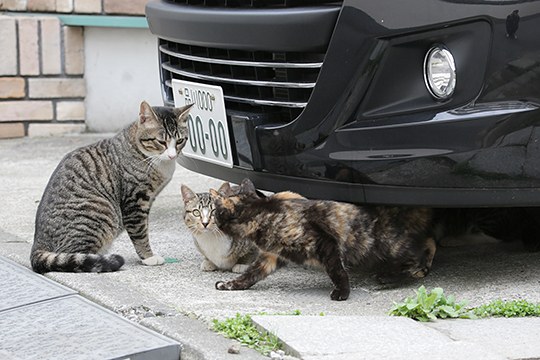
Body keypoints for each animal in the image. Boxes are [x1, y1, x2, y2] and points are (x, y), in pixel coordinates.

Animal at [30, 100, 193, 274]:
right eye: (161, 142)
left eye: (180, 141)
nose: (172, 155)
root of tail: (38, 243)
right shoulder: (135, 201)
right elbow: (140, 232)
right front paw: (148, 257)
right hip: (101, 211)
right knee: (73, 255)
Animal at [209, 179, 436, 300]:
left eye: (215, 212)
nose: (211, 223)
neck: (261, 215)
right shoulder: (270, 257)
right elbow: (250, 275)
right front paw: (230, 285)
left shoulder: (324, 242)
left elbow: (337, 270)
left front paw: (342, 292)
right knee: (428, 242)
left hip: (388, 243)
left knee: (422, 249)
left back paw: (393, 275)